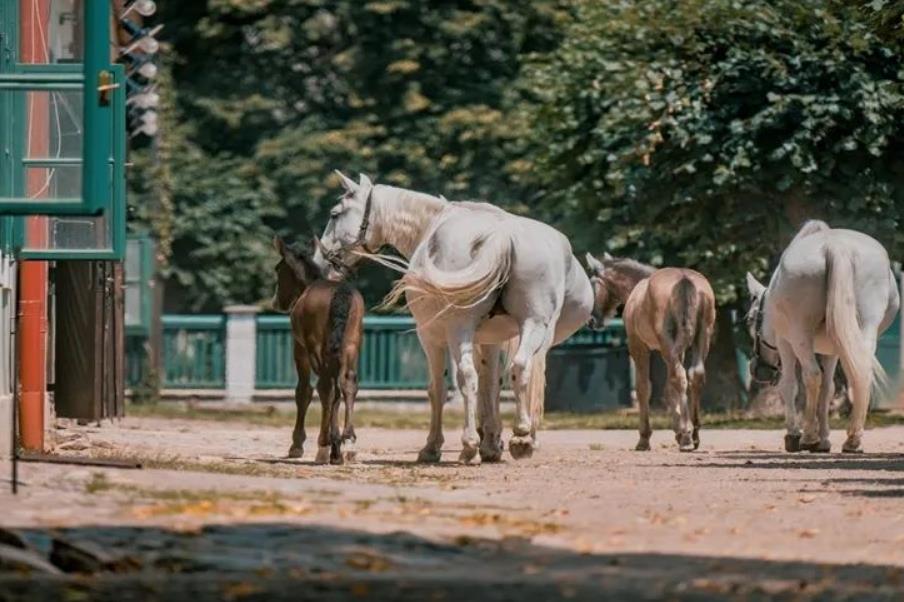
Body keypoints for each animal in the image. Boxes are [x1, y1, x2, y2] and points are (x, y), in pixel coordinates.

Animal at [272, 236, 364, 464]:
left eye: (278, 269)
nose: (276, 302)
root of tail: (341, 294)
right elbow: (337, 393)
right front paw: (337, 444)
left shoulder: (300, 350)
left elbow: (304, 391)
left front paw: (297, 445)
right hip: (350, 344)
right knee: (347, 383)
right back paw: (348, 442)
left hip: (317, 348)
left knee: (325, 387)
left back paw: (325, 444)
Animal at [310, 171, 592, 462]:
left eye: (334, 214)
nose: (319, 262)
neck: (430, 224)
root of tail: (502, 236)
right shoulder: (490, 340)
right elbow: (491, 384)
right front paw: (492, 442)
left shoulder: (431, 336)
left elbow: (439, 388)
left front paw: (433, 446)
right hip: (534, 325)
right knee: (521, 368)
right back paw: (522, 436)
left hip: (459, 328)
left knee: (468, 376)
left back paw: (470, 445)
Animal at [584, 253, 716, 450]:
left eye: (592, 284)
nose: (591, 321)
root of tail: (684, 280)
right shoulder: (674, 351)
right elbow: (668, 388)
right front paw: (677, 431)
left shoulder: (638, 346)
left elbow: (643, 388)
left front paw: (644, 438)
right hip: (701, 337)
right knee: (693, 376)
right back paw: (694, 433)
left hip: (667, 343)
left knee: (680, 377)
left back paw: (686, 435)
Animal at [748, 219, 896, 450]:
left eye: (750, 319)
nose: (757, 371)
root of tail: (836, 246)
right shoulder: (833, 350)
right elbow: (828, 389)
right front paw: (825, 438)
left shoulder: (785, 343)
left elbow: (790, 385)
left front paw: (794, 435)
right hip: (864, 331)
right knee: (860, 373)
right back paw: (852, 439)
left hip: (800, 336)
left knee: (811, 375)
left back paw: (808, 437)